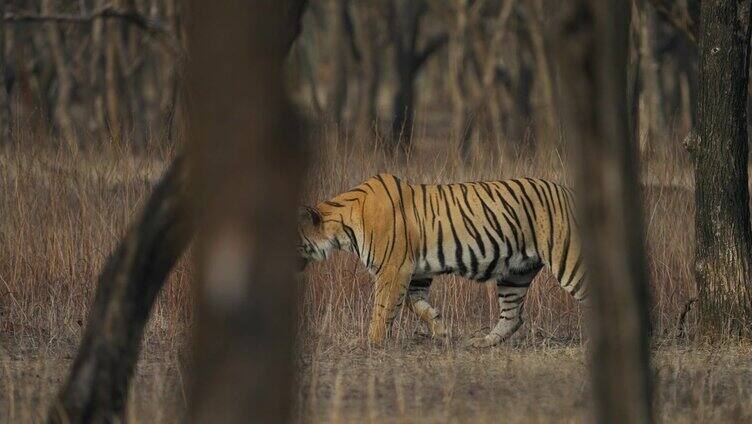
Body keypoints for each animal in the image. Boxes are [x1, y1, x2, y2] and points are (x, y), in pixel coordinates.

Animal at [296, 173, 588, 348]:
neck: (341, 228)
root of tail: (572, 192)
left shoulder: (393, 269)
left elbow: (383, 307)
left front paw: (373, 342)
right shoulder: (415, 273)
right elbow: (415, 304)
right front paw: (441, 330)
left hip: (567, 260)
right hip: (516, 273)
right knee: (513, 316)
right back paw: (482, 342)